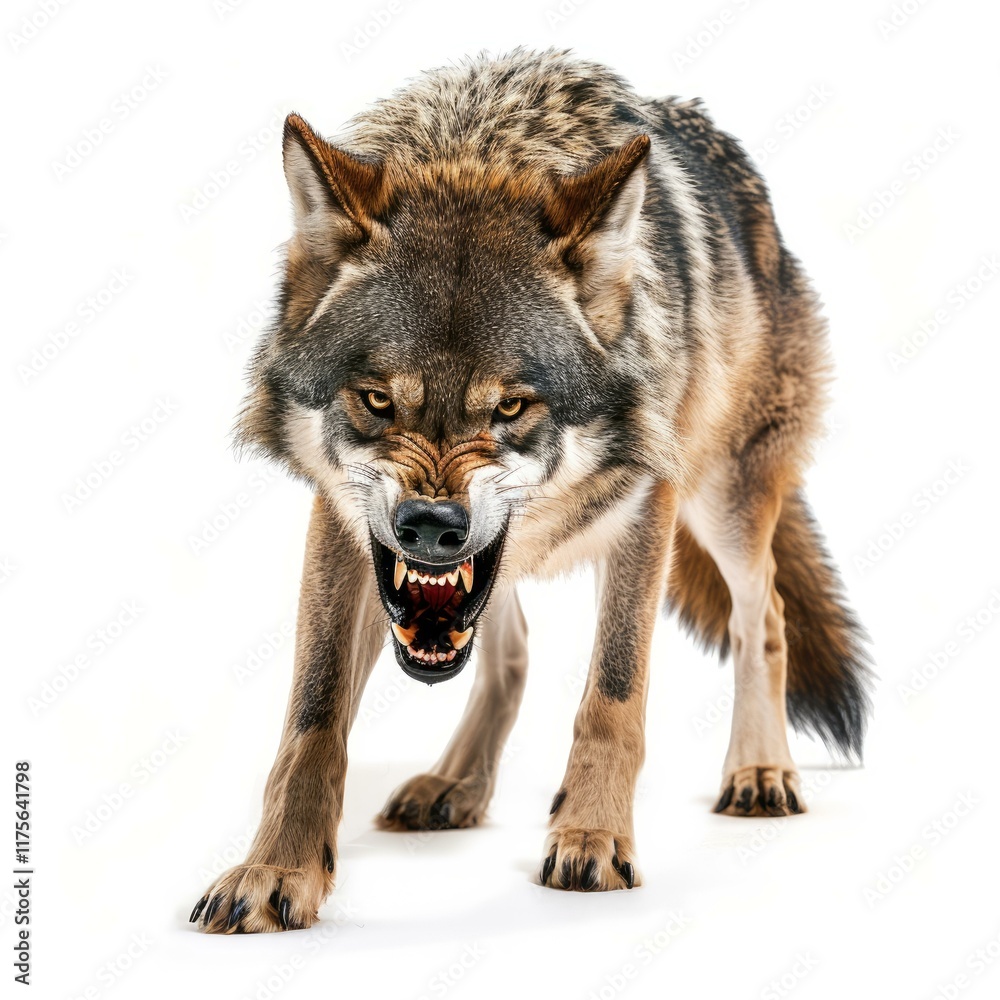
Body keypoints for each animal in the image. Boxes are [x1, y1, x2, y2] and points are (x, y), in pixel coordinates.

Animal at [190, 48, 873, 933]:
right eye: (376, 399)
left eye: (511, 407)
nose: (430, 527)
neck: (484, 142)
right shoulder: (343, 528)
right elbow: (312, 719)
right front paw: (277, 871)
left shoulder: (647, 507)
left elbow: (613, 694)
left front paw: (591, 837)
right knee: (510, 649)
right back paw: (456, 784)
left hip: (725, 496)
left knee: (768, 613)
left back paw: (758, 771)